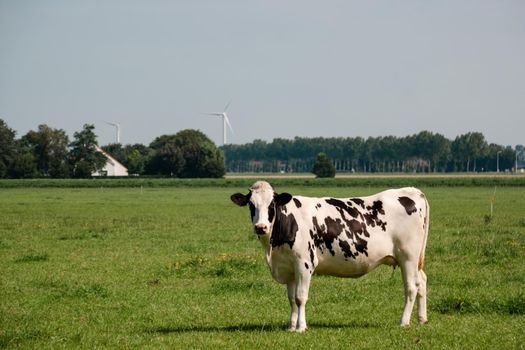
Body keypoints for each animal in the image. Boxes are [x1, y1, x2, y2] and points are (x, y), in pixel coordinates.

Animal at [231, 182, 428, 332]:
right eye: (251, 205)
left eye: (272, 205)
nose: (261, 227)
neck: (273, 249)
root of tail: (412, 191)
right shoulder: (289, 267)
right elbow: (291, 299)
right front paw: (291, 326)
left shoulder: (304, 263)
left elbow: (300, 297)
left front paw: (301, 327)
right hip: (414, 260)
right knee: (422, 281)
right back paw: (422, 319)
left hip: (408, 257)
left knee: (411, 287)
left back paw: (404, 322)